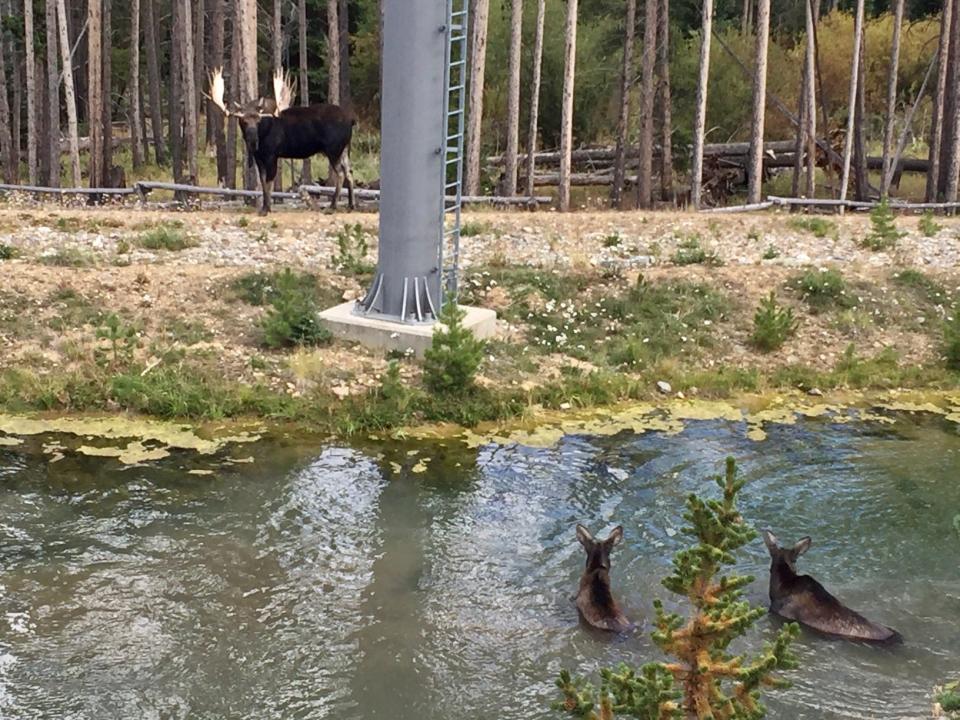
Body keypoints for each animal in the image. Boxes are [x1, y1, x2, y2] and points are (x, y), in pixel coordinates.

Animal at [208, 67, 354, 214]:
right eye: (243, 121)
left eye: (258, 120)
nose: (253, 140)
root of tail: (352, 121)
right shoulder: (259, 157)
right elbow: (263, 182)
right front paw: (265, 207)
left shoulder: (272, 155)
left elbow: (269, 182)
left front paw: (266, 209)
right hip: (344, 149)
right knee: (349, 172)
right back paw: (350, 205)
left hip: (333, 149)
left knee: (341, 173)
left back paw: (333, 206)